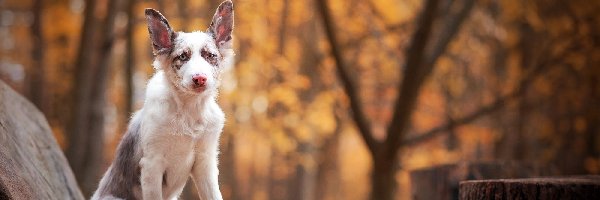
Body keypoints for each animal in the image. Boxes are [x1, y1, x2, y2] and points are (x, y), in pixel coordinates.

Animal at [91, 0, 234, 199]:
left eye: (210, 56)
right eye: (183, 56)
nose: (199, 79)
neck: (189, 110)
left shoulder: (205, 163)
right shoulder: (152, 164)